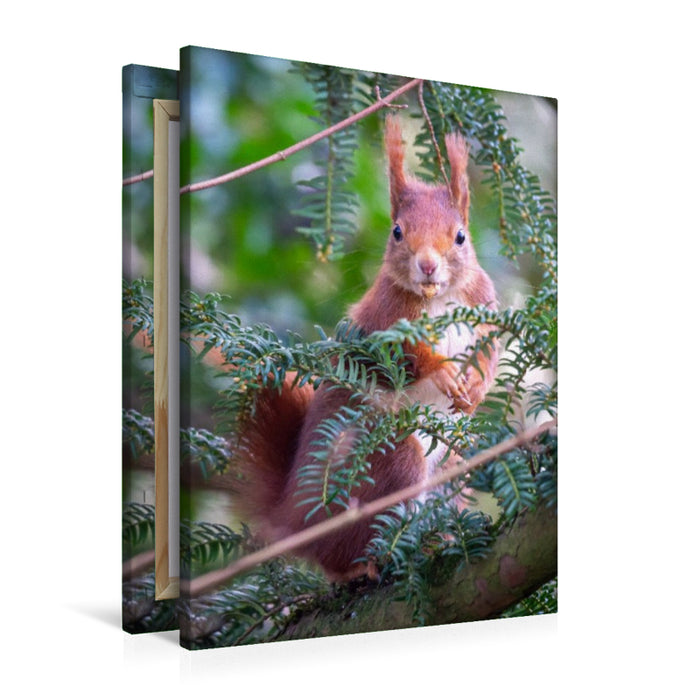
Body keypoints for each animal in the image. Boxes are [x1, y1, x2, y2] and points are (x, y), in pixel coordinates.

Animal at [230, 115, 499, 581]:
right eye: (397, 232)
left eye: (461, 237)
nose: (428, 265)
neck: (440, 297)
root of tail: (298, 519)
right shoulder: (379, 323)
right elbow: (402, 356)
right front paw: (442, 371)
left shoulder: (484, 307)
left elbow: (492, 350)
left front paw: (476, 387)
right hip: (389, 458)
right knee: (347, 551)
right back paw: (372, 562)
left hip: (452, 469)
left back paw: (443, 537)